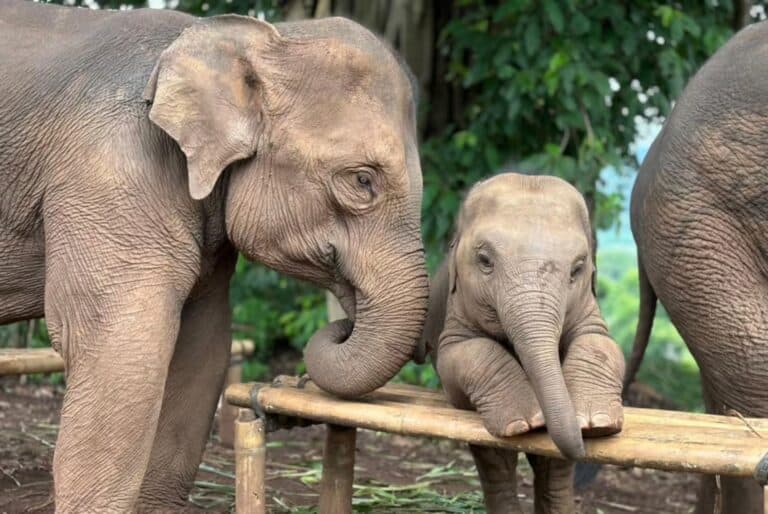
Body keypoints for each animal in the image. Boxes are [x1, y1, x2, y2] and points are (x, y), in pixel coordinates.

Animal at [416, 173, 628, 512]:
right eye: (484, 260)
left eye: (578, 268)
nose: (583, 449)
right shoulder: (456, 309)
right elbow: (460, 354)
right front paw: (528, 422)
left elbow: (602, 343)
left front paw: (597, 423)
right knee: (494, 458)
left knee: (552, 464)